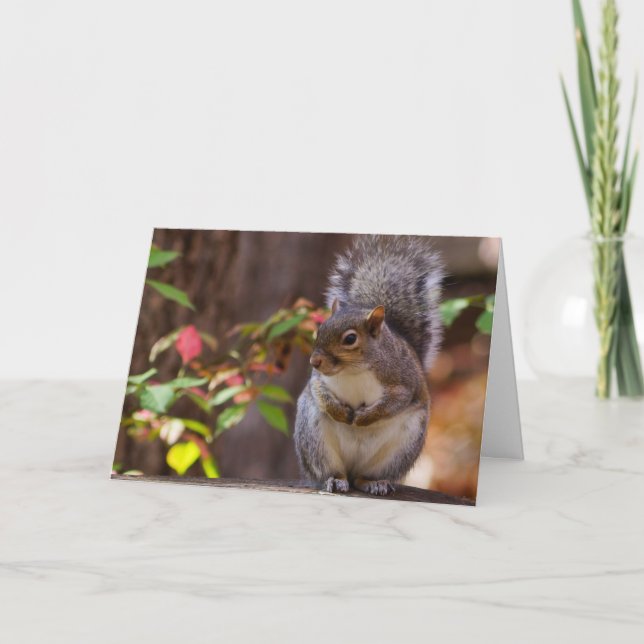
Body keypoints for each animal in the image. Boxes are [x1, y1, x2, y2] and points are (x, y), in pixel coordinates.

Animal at [294, 234, 444, 496]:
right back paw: (335, 480)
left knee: (363, 477)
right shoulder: (318, 379)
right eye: (319, 330)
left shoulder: (403, 381)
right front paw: (341, 412)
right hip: (315, 440)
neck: (353, 370)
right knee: (334, 471)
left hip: (401, 448)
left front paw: (363, 418)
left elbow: (395, 402)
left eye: (350, 339)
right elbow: (318, 391)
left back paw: (374, 482)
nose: (315, 361)